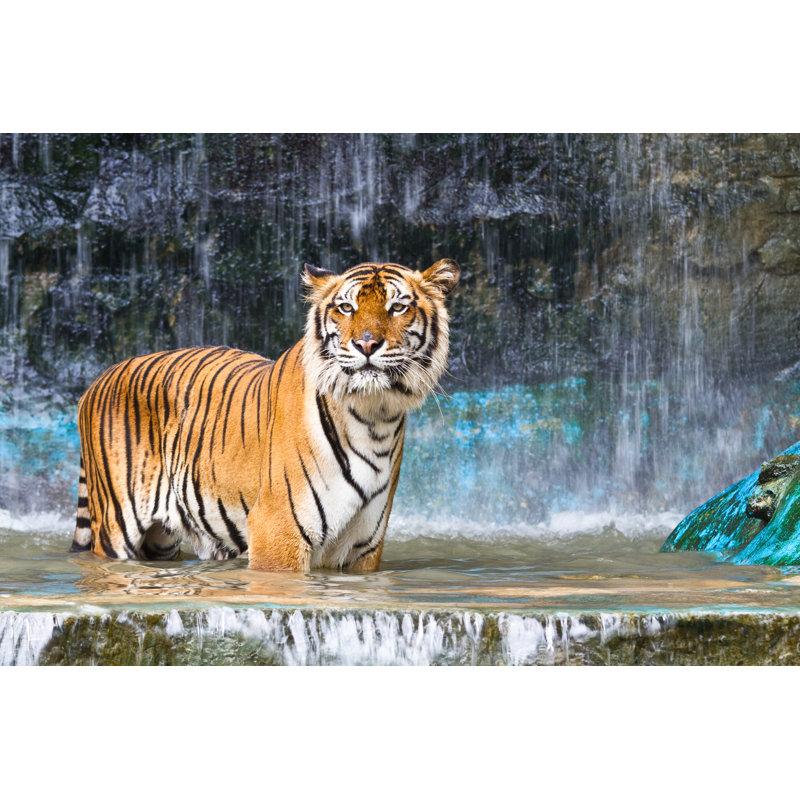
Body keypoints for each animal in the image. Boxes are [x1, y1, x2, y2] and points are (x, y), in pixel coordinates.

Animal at [70, 259, 460, 572]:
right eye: (346, 307)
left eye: (398, 307)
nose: (366, 344)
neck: (373, 416)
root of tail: (99, 379)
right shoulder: (279, 531)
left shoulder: (363, 547)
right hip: (116, 528)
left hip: (163, 539)